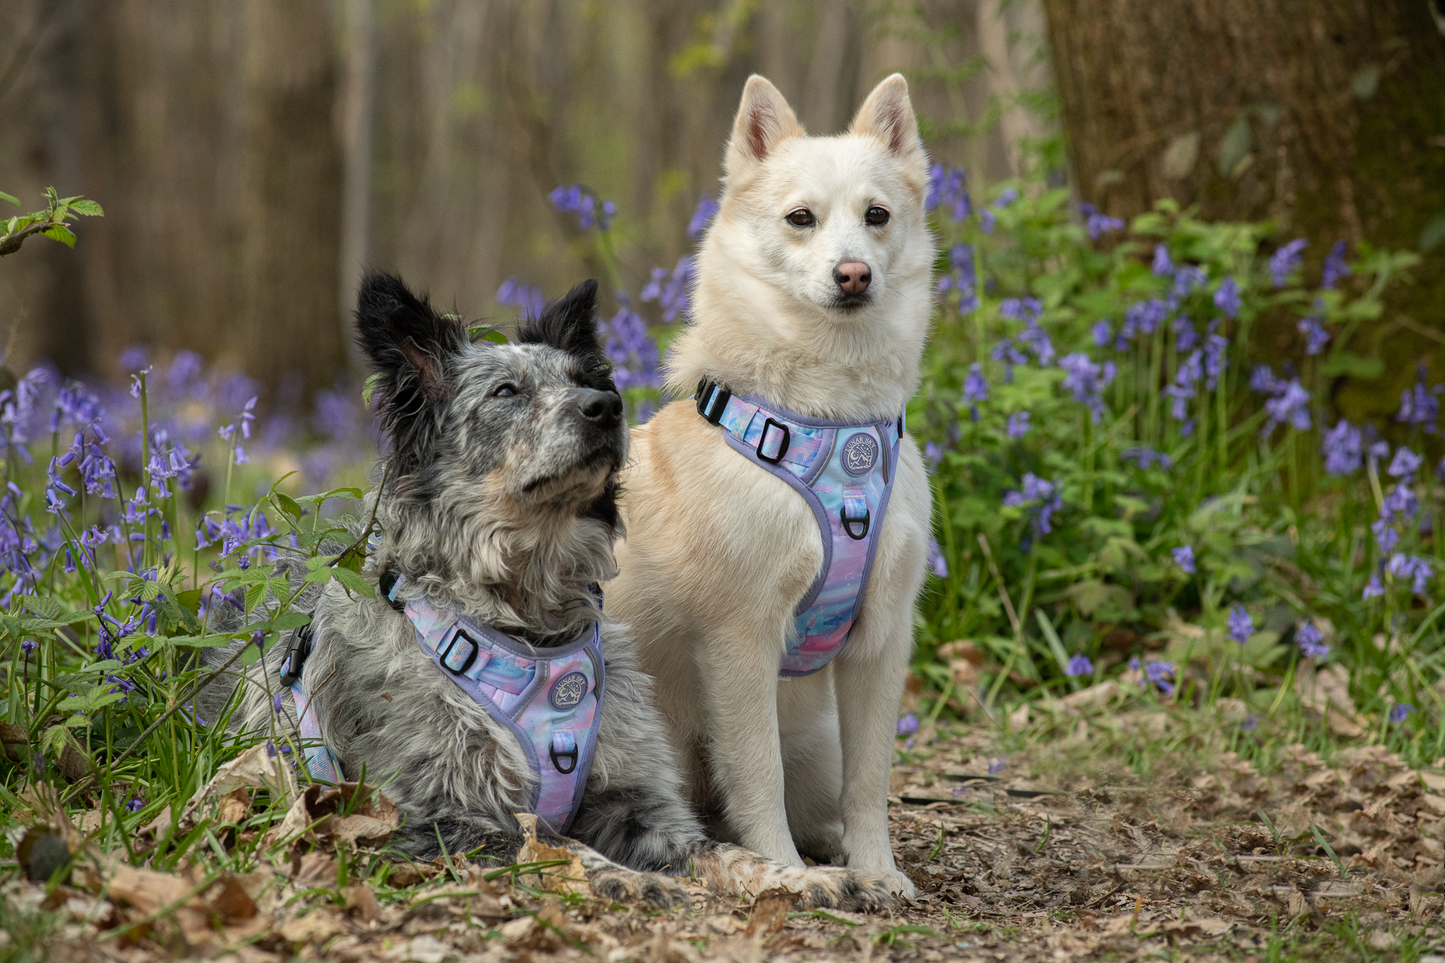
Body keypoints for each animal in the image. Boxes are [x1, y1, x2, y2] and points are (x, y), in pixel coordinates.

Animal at [209, 271, 890, 908]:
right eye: (506, 391)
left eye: (589, 379)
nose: (606, 407)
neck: (527, 620)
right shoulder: (435, 815)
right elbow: (557, 846)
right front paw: (636, 881)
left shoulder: (632, 802)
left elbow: (723, 850)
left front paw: (807, 878)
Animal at [609, 73, 936, 890]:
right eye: (800, 218)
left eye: (877, 215)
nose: (853, 274)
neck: (829, 418)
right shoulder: (740, 637)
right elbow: (756, 773)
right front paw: (786, 872)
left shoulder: (882, 639)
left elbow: (870, 779)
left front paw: (877, 871)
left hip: (814, 742)